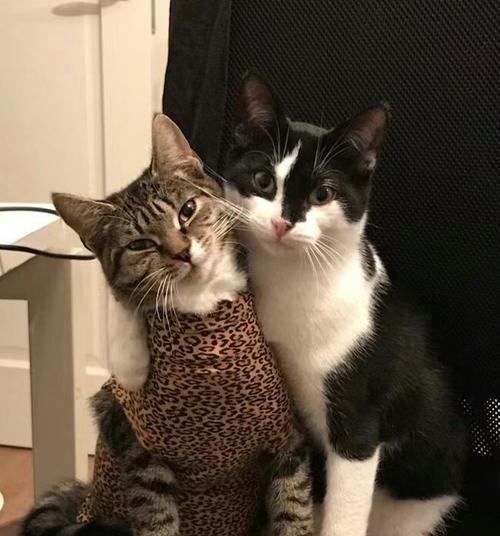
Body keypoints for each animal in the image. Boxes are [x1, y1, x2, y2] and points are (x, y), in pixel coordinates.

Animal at [22, 114, 314, 536]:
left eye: (187, 209)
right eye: (140, 244)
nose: (182, 252)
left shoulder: (287, 439)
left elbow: (294, 509)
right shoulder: (140, 452)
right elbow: (156, 518)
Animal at [224, 73, 467, 536]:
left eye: (323, 194)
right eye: (264, 181)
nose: (283, 223)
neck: (294, 280)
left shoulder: (358, 422)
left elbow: (346, 510)